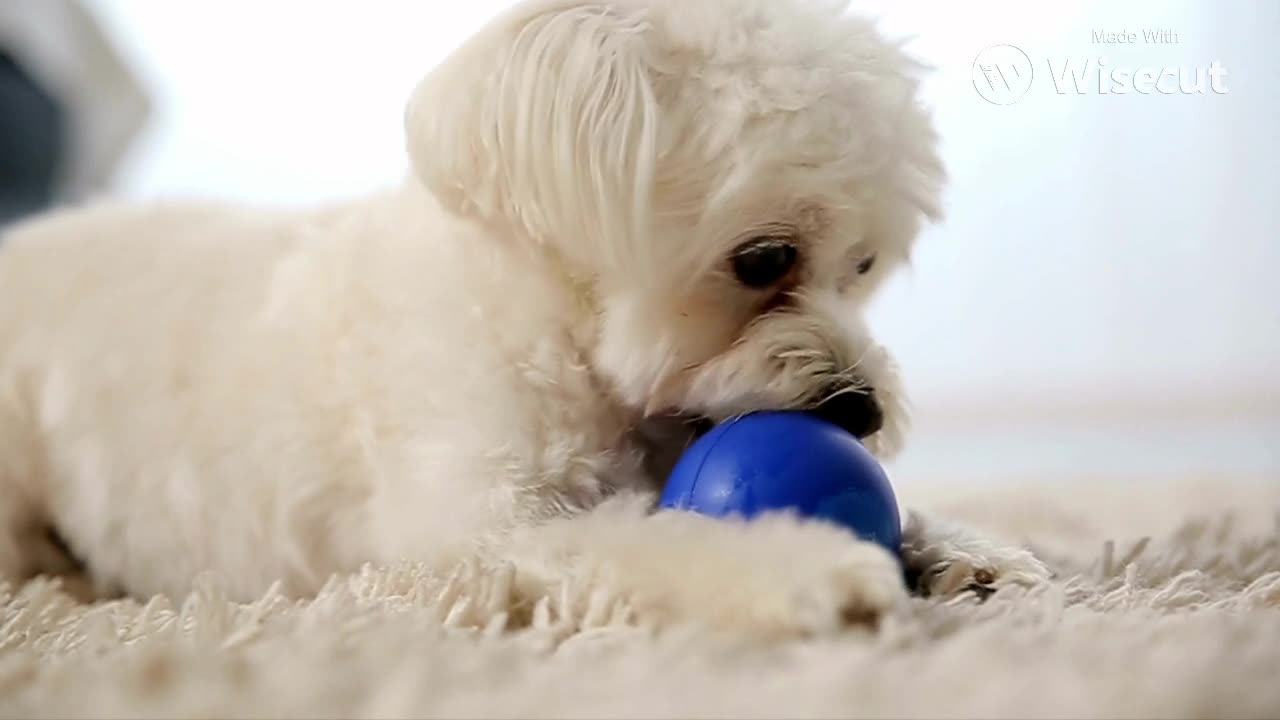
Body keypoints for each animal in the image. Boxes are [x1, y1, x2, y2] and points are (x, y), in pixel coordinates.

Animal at [0, 0, 1044, 627]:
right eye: (763, 259)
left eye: (863, 266)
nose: (862, 411)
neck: (555, 328)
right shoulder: (485, 526)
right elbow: (659, 539)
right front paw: (814, 570)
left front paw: (970, 550)